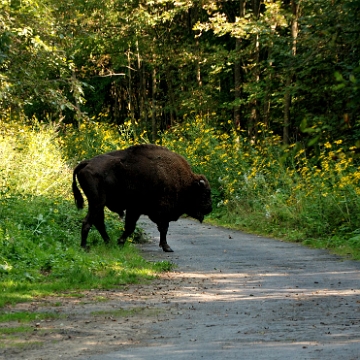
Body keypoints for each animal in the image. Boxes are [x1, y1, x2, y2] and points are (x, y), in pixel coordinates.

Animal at [72, 145, 212, 252]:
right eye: (205, 193)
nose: (209, 208)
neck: (186, 183)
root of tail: (87, 163)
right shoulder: (150, 211)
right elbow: (159, 228)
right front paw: (167, 248)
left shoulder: (137, 211)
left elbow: (134, 227)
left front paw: (119, 242)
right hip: (97, 202)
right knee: (88, 221)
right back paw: (85, 246)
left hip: (98, 204)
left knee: (98, 222)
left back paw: (108, 242)